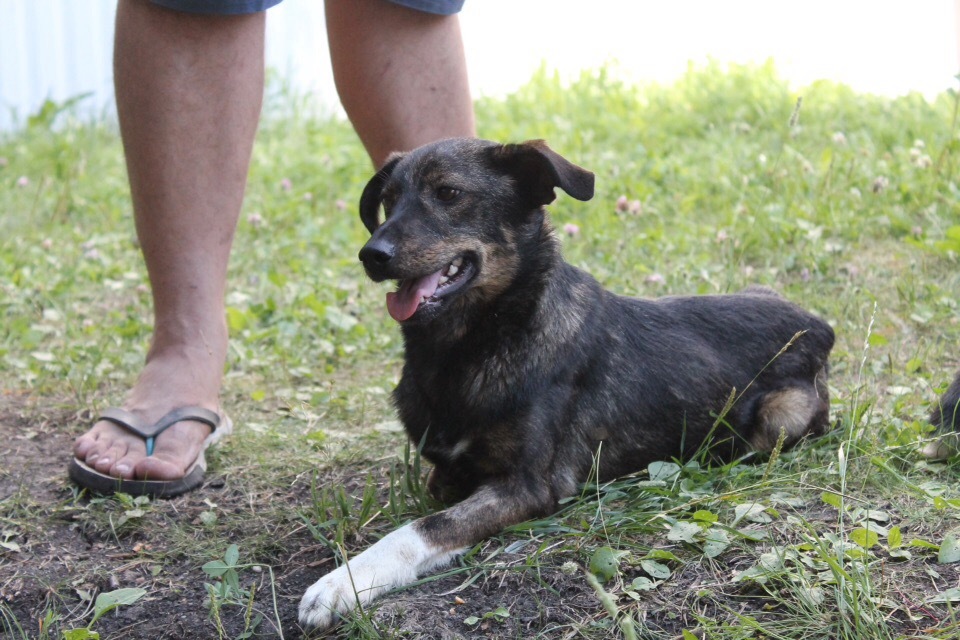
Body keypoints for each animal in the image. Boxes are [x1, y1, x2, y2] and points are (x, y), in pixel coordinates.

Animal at [296, 138, 836, 628]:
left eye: (448, 193)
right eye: (388, 199)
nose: (371, 254)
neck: (477, 342)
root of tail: (817, 322)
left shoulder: (529, 486)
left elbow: (425, 527)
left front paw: (341, 583)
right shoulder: (447, 468)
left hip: (779, 419)